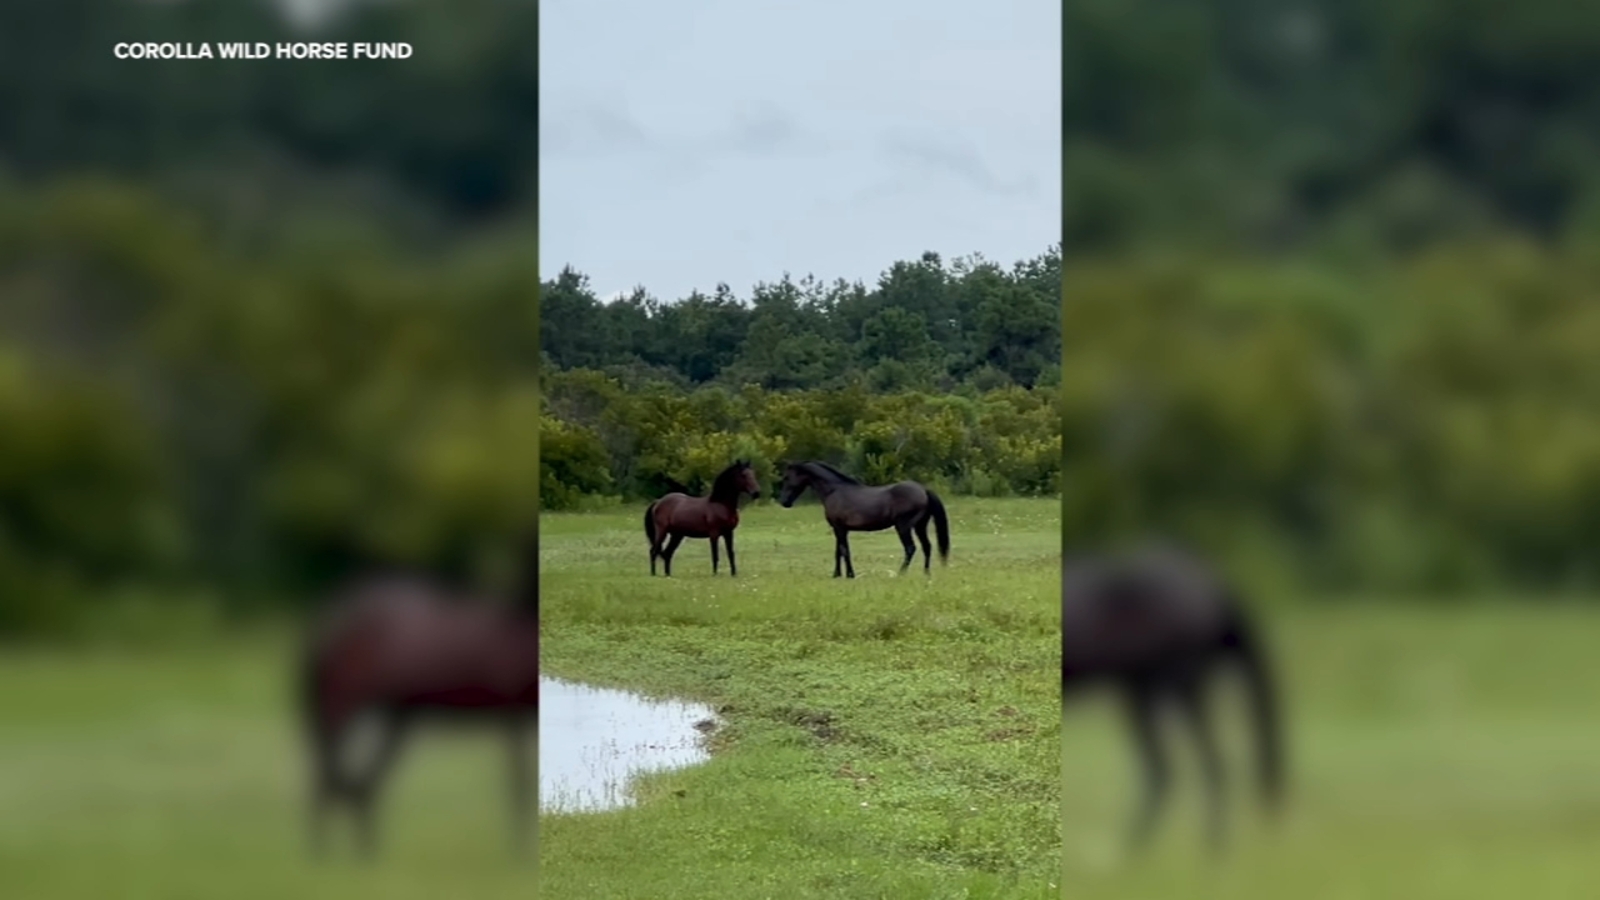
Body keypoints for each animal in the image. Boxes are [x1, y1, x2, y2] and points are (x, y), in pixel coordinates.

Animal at [298, 537, 539, 860]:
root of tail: (336, 616)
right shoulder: (514, 716)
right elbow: (521, 789)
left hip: (395, 718)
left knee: (361, 784)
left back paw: (365, 854)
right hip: (341, 707)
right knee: (330, 780)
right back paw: (324, 858)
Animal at [775, 461, 950, 578]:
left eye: (786, 478)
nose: (784, 502)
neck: (834, 491)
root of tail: (924, 490)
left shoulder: (839, 528)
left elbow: (844, 551)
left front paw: (850, 574)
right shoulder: (840, 529)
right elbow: (838, 551)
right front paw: (837, 574)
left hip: (904, 527)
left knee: (910, 548)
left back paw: (901, 574)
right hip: (920, 526)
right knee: (927, 546)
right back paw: (926, 573)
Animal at [1061, 543, 1284, 856]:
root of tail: (1211, 585)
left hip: (1179, 687)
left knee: (1209, 765)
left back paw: (1208, 852)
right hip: (1143, 691)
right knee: (1165, 771)